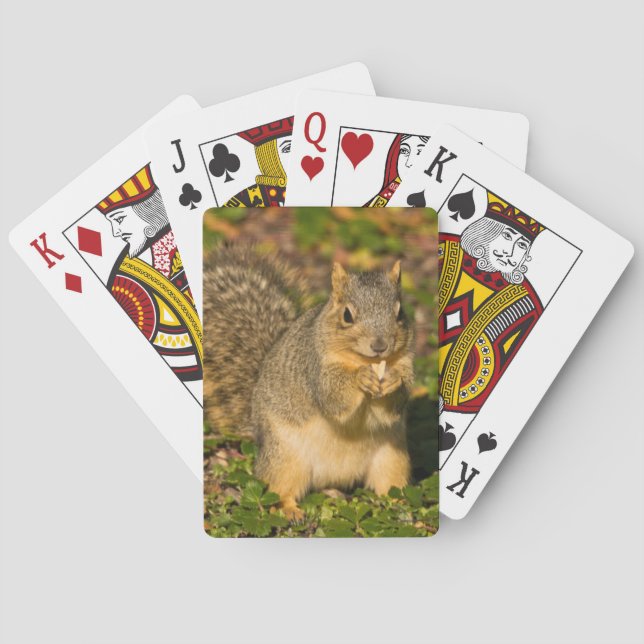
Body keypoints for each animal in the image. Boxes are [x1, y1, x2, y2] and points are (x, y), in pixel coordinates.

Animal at [203, 245, 414, 520]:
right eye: (347, 315)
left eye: (399, 313)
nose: (380, 345)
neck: (363, 360)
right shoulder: (314, 367)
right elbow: (333, 396)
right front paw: (360, 378)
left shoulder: (406, 363)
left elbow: (395, 405)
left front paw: (393, 382)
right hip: (285, 457)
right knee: (278, 488)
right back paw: (288, 509)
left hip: (392, 458)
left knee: (389, 486)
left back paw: (400, 506)